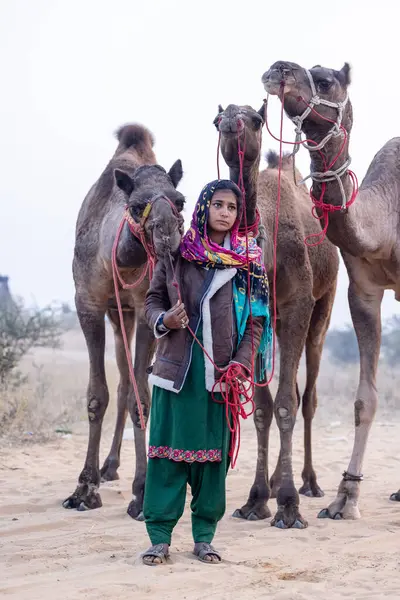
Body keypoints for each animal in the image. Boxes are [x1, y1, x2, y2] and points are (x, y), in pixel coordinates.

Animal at [63, 123, 185, 520]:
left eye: (179, 200)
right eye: (136, 205)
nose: (168, 234)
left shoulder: (149, 312)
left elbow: (140, 399)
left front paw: (142, 494)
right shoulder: (87, 303)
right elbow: (97, 395)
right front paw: (84, 489)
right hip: (120, 319)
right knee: (122, 382)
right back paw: (110, 466)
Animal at [214, 105, 340, 528]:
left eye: (255, 119)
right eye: (217, 120)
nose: (231, 124)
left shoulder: (298, 303)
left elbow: (286, 402)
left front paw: (288, 506)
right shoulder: (256, 314)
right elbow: (263, 409)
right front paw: (256, 500)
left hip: (323, 306)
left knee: (309, 396)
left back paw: (309, 484)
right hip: (281, 324)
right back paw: (271, 483)